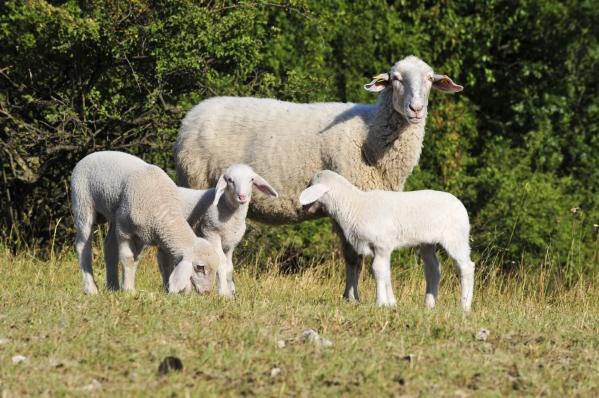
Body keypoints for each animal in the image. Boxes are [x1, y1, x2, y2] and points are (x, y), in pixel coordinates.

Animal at [70, 151, 220, 294]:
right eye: (200, 267)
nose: (207, 292)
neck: (163, 209)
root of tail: (89, 156)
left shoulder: (144, 236)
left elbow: (146, 261)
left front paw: (167, 290)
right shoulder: (125, 230)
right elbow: (128, 258)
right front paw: (128, 291)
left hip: (115, 214)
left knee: (109, 247)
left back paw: (113, 287)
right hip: (83, 203)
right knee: (83, 247)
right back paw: (91, 289)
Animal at [154, 163, 278, 296]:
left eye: (252, 179)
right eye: (230, 180)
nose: (242, 197)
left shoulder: (230, 243)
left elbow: (229, 266)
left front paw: (230, 293)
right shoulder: (210, 233)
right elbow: (221, 262)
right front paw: (223, 293)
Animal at [173, 53, 464, 302]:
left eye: (430, 79)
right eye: (395, 79)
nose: (416, 109)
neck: (369, 138)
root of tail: (191, 116)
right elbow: (352, 256)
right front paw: (352, 298)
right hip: (196, 183)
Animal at [298, 169, 474, 310]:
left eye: (310, 185)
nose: (302, 208)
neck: (353, 205)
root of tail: (460, 204)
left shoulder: (381, 244)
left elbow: (377, 270)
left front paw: (380, 302)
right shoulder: (382, 248)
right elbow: (386, 272)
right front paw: (391, 303)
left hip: (456, 237)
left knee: (466, 267)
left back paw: (464, 306)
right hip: (427, 242)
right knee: (433, 269)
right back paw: (429, 304)